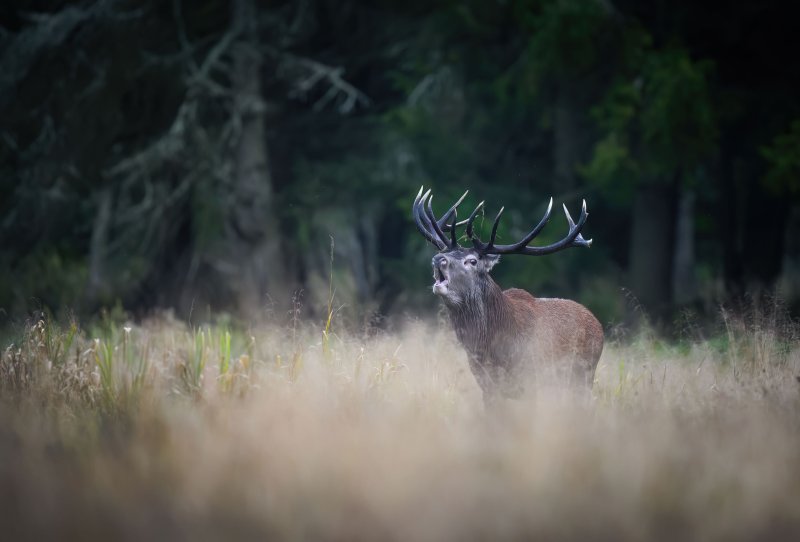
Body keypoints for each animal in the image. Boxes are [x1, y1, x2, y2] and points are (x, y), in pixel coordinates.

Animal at [412, 187, 604, 405]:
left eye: (472, 261)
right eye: (444, 251)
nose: (438, 259)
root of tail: (598, 324)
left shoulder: (532, 379)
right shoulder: (487, 385)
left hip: (584, 374)